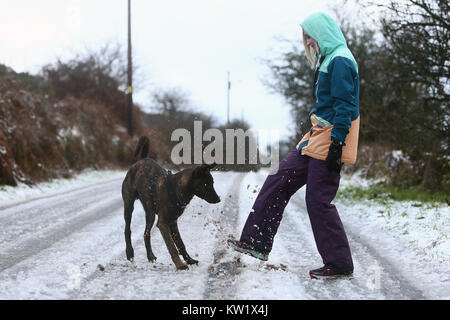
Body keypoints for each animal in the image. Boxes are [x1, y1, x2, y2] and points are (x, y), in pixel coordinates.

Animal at [120, 136, 221, 268]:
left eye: (212, 183)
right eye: (206, 185)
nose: (218, 199)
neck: (177, 188)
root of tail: (139, 161)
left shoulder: (173, 222)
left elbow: (181, 244)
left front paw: (189, 260)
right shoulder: (163, 224)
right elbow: (172, 247)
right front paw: (180, 265)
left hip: (150, 213)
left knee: (146, 234)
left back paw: (150, 256)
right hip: (129, 205)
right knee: (127, 230)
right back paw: (130, 253)